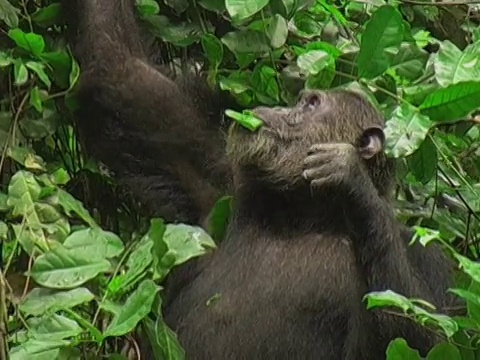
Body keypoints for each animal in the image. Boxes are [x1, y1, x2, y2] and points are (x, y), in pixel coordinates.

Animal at [63, 1, 458, 358]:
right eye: (302, 100)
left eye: (311, 104)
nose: (279, 107)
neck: (302, 215)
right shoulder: (217, 180)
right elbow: (120, 67)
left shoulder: (428, 257)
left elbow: (426, 335)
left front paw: (353, 178)